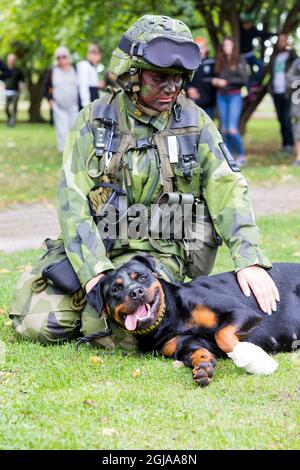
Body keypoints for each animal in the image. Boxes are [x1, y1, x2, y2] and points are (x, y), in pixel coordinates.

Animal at [87, 258, 300, 386]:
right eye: (115, 289)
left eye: (142, 277)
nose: (136, 292)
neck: (170, 319)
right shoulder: (184, 345)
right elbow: (199, 352)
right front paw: (204, 367)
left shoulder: (241, 312)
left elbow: (222, 334)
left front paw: (254, 358)